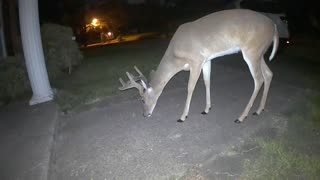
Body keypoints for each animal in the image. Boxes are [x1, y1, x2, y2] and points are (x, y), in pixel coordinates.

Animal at [119, 9, 278, 123]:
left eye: (142, 99)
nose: (145, 114)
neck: (176, 56)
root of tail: (274, 26)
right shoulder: (206, 60)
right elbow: (207, 81)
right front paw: (206, 109)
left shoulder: (196, 60)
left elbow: (190, 87)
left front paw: (183, 116)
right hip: (259, 52)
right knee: (269, 74)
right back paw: (259, 110)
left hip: (252, 50)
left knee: (259, 79)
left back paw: (241, 117)